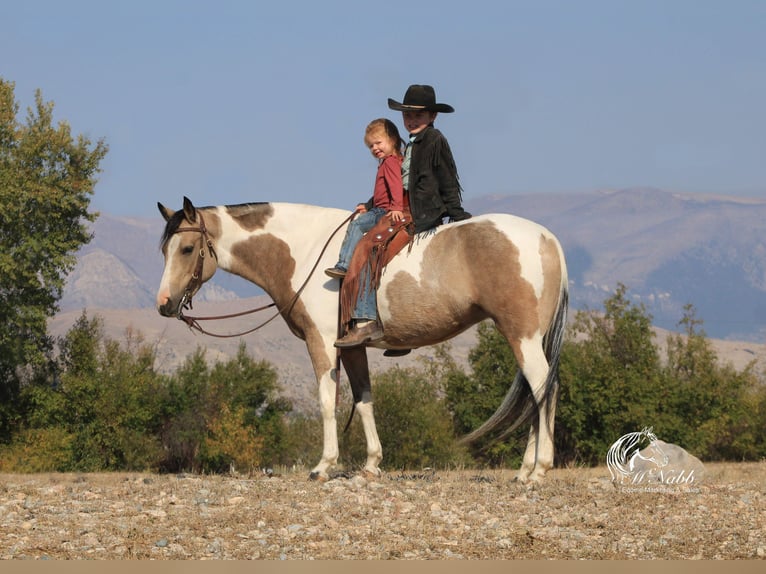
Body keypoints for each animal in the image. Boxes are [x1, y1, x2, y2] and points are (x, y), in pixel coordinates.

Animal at [156, 198, 568, 486]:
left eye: (187, 249)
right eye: (164, 250)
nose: (164, 304)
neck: (304, 251)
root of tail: (548, 239)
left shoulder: (321, 342)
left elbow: (327, 400)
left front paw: (323, 466)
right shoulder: (351, 346)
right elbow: (363, 399)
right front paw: (371, 465)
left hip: (522, 335)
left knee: (542, 387)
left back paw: (539, 470)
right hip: (528, 338)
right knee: (535, 392)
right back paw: (525, 470)